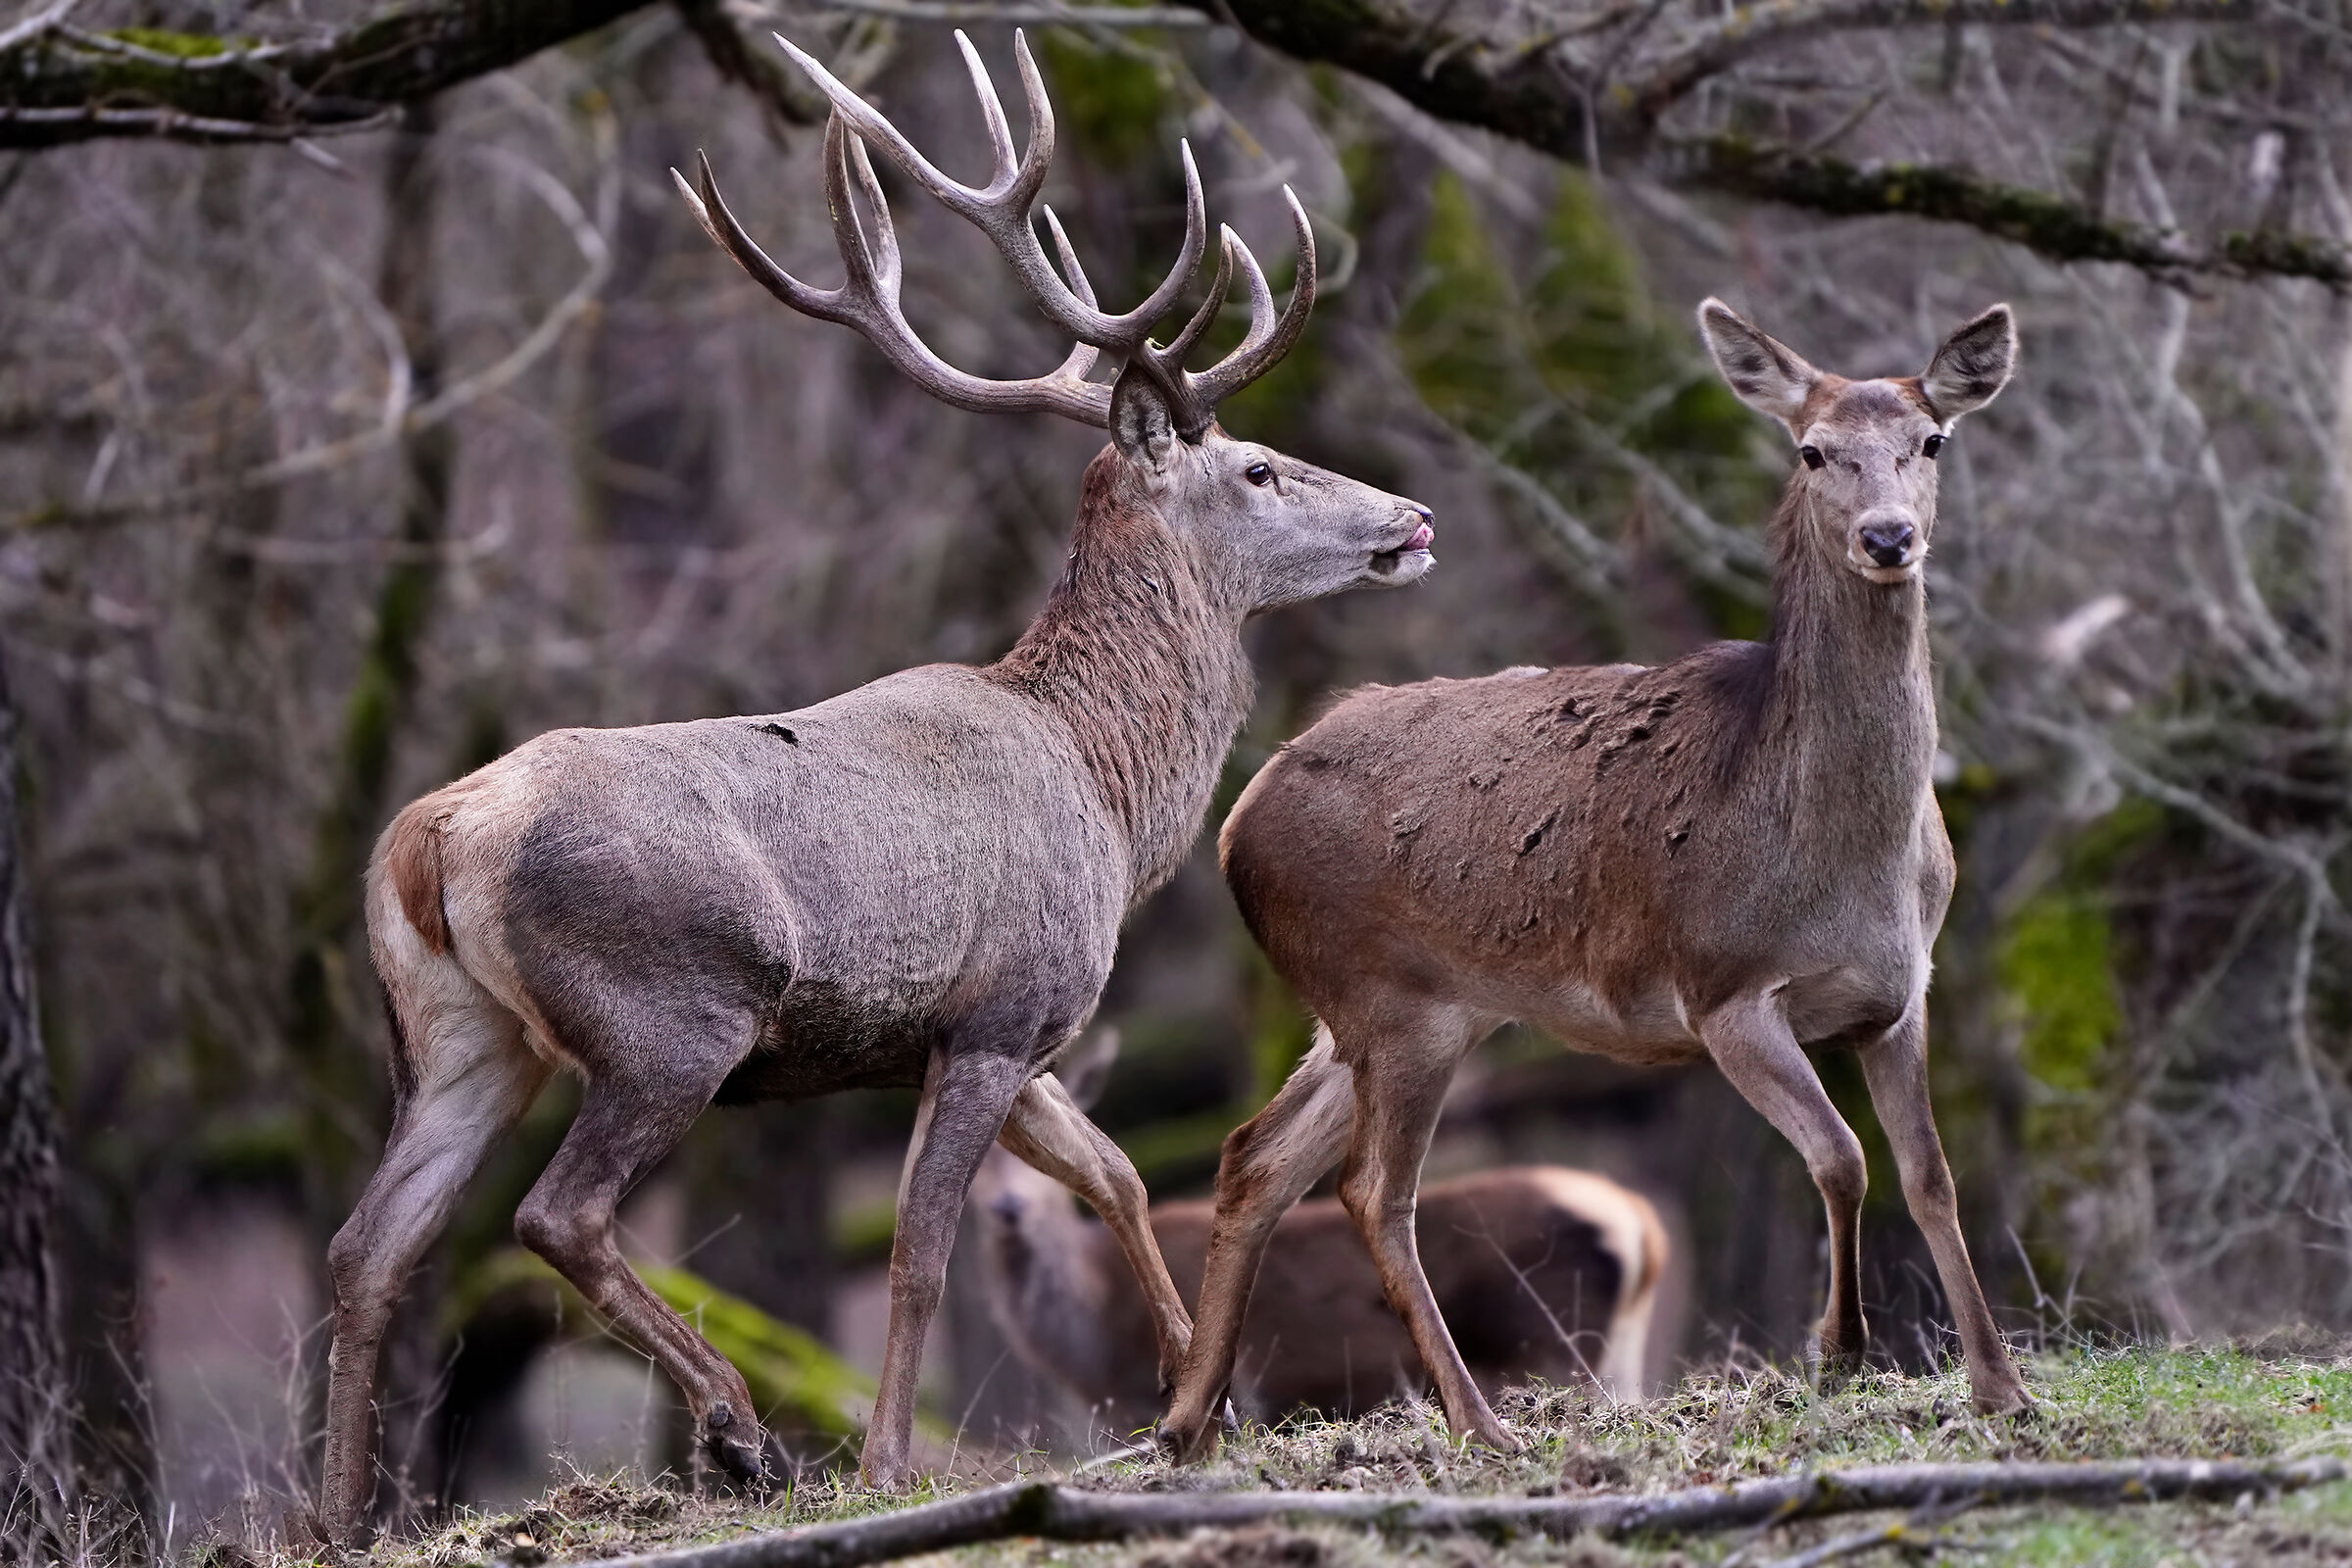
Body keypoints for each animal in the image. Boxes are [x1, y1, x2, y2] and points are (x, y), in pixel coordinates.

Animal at [317, 30, 1436, 1541]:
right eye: (1258, 467)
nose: (1410, 519)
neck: (1104, 783)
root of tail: (430, 839)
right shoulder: (1002, 1005)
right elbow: (920, 1246)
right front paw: (897, 1462)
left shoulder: (1005, 1028)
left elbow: (1116, 1169)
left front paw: (1192, 1396)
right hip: (671, 1013)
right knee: (556, 1216)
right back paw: (740, 1429)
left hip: (452, 1033)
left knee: (369, 1241)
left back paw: (334, 1517)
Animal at [1156, 300, 2030, 1463]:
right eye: (1811, 450)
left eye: (1931, 442)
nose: (1889, 537)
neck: (1850, 866)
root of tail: (1234, 822)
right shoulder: (1721, 989)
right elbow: (1843, 1156)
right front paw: (1839, 1351)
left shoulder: (1900, 993)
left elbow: (1931, 1175)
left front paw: (2001, 1388)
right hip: (1390, 1003)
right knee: (1373, 1190)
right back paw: (1479, 1423)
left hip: (1382, 1011)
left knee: (1254, 1154)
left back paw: (1185, 1420)